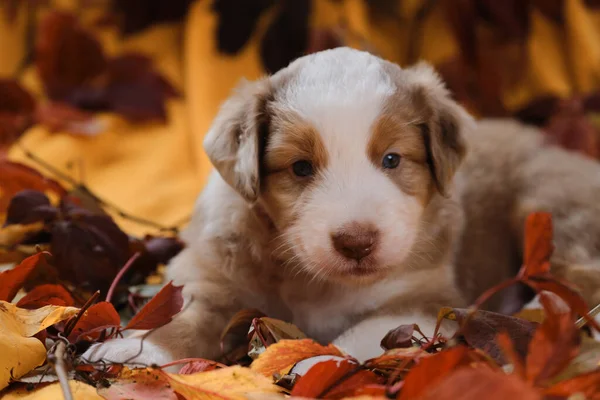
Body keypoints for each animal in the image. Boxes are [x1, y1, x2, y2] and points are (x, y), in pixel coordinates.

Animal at [83, 47, 600, 366]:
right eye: (300, 168)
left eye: (391, 159)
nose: (356, 242)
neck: (313, 281)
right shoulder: (213, 272)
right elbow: (185, 314)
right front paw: (135, 350)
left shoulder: (423, 297)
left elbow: (359, 333)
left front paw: (313, 359)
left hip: (549, 205)